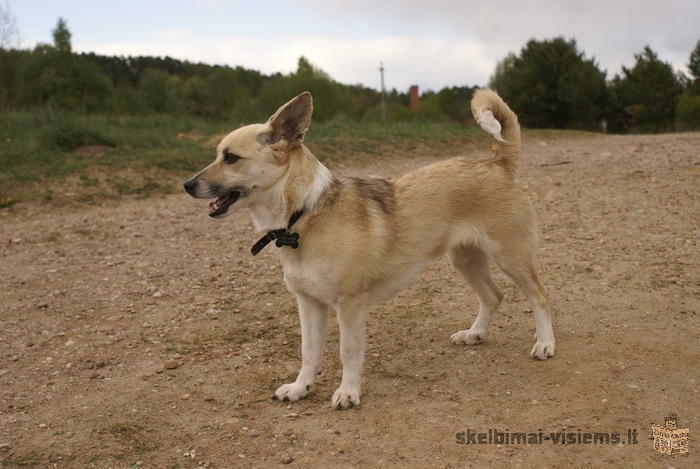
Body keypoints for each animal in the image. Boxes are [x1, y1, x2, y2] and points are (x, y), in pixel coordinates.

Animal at [183, 89, 556, 408]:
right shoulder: (309, 304)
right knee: (493, 296)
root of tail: (496, 161)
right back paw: (475, 334)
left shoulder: (349, 305)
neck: (304, 215)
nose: (186, 185)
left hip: (512, 258)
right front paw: (301, 387)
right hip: (465, 259)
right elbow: (309, 352)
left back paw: (545, 343)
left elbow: (348, 352)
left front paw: (348, 393)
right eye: (218, 155)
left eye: (231, 158)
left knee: (540, 297)